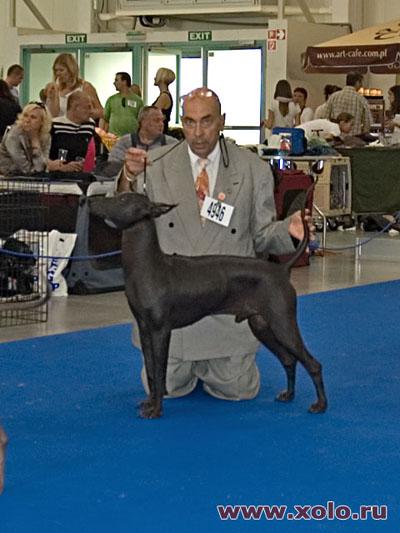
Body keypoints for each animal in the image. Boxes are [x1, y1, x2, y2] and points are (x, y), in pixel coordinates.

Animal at [89, 193, 326, 418]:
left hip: (283, 325)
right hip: (262, 326)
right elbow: (150, 370)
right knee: (289, 359)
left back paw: (320, 405)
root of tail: (281, 269)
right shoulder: (145, 329)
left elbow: (159, 371)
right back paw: (289, 395)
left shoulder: (160, 331)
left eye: (122, 199)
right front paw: (149, 402)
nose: (89, 201)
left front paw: (156, 410)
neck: (148, 265)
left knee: (313, 364)